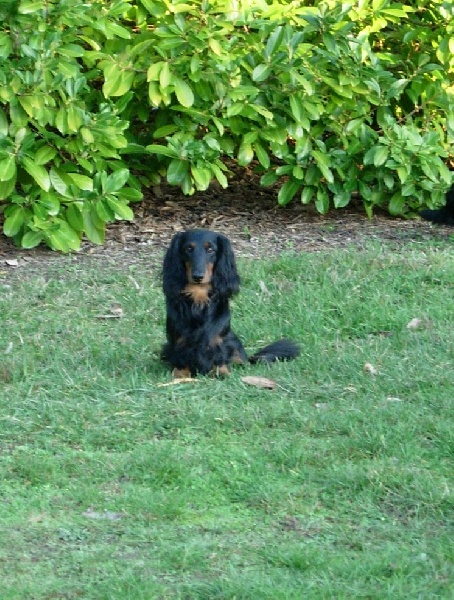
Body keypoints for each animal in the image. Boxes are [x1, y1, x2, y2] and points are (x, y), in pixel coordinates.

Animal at [161, 227, 300, 378]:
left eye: (210, 249)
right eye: (188, 249)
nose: (198, 276)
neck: (199, 299)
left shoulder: (218, 340)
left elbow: (220, 358)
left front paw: (221, 371)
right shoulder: (178, 341)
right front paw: (180, 374)